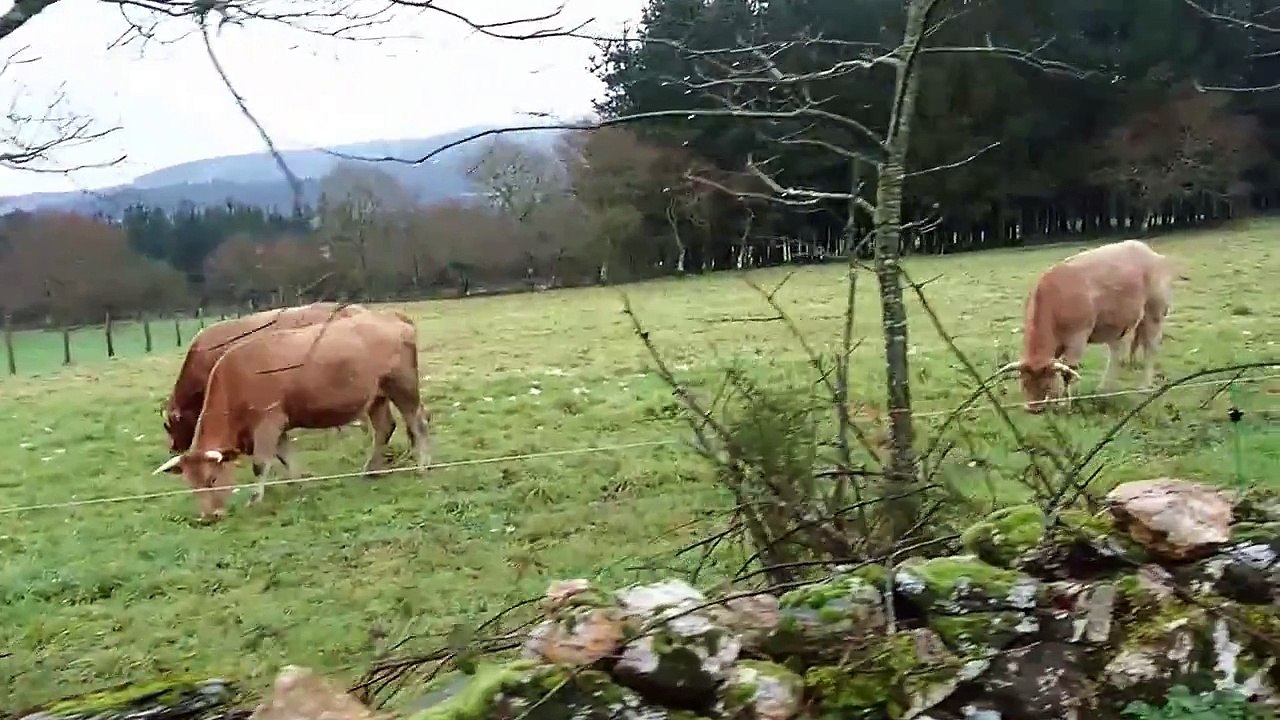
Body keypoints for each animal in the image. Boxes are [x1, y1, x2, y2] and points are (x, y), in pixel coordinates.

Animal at [999, 239, 1176, 413]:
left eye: (1045, 383)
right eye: (1023, 382)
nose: (1033, 409)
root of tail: (1146, 250)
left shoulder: (1077, 339)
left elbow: (1069, 371)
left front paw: (1065, 404)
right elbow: (1061, 369)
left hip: (1154, 313)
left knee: (1150, 349)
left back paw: (1144, 386)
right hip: (1120, 325)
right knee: (1117, 353)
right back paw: (1105, 388)